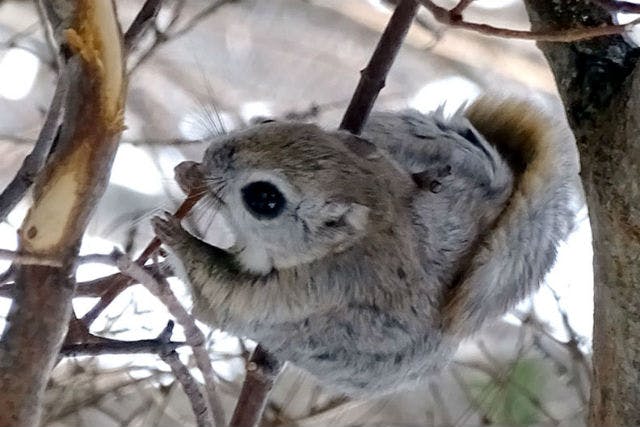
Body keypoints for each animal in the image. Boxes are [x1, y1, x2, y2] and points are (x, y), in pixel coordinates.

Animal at [152, 97, 584, 398]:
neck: (377, 213)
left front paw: (175, 236)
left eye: (265, 198)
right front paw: (188, 173)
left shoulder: (311, 289)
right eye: (270, 123)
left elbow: (221, 296)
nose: (212, 155)